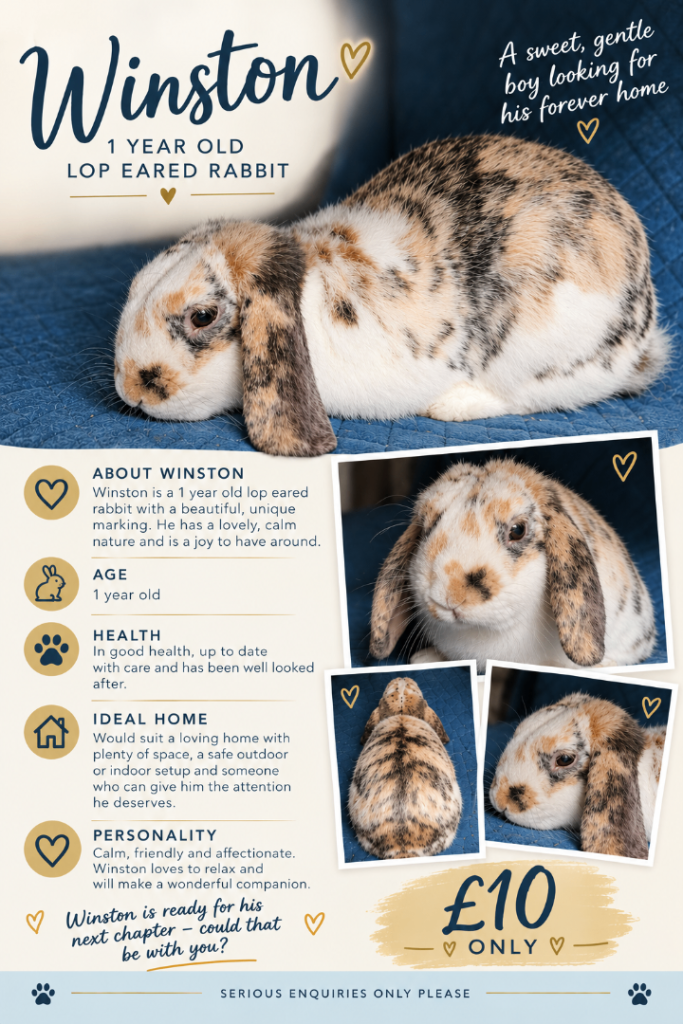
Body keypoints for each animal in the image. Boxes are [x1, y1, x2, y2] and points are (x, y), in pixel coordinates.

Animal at [113, 135, 669, 456]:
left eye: (203, 316)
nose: (130, 389)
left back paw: (451, 405)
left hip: (539, 351)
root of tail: (644, 333)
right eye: (134, 285)